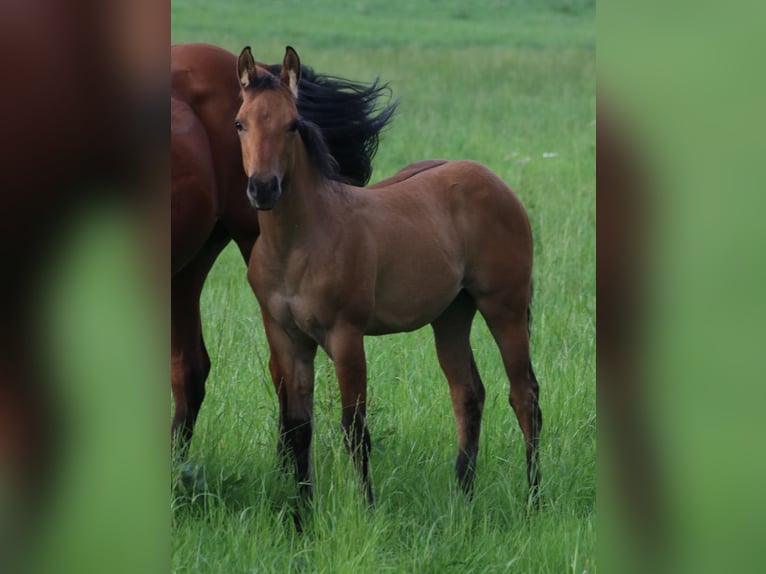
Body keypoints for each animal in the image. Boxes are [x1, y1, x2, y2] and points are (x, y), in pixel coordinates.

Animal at [170, 44, 396, 454]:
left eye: (292, 126)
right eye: (239, 124)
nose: (262, 188)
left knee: (277, 373)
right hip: (190, 261)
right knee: (189, 368)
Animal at [237, 45, 544, 510]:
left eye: (292, 124)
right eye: (240, 123)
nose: (263, 188)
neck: (298, 242)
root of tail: (497, 183)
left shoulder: (346, 335)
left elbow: (354, 429)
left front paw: (366, 507)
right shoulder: (287, 338)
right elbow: (298, 427)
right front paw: (303, 510)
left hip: (503, 308)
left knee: (524, 397)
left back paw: (533, 498)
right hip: (452, 316)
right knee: (468, 393)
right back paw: (462, 496)